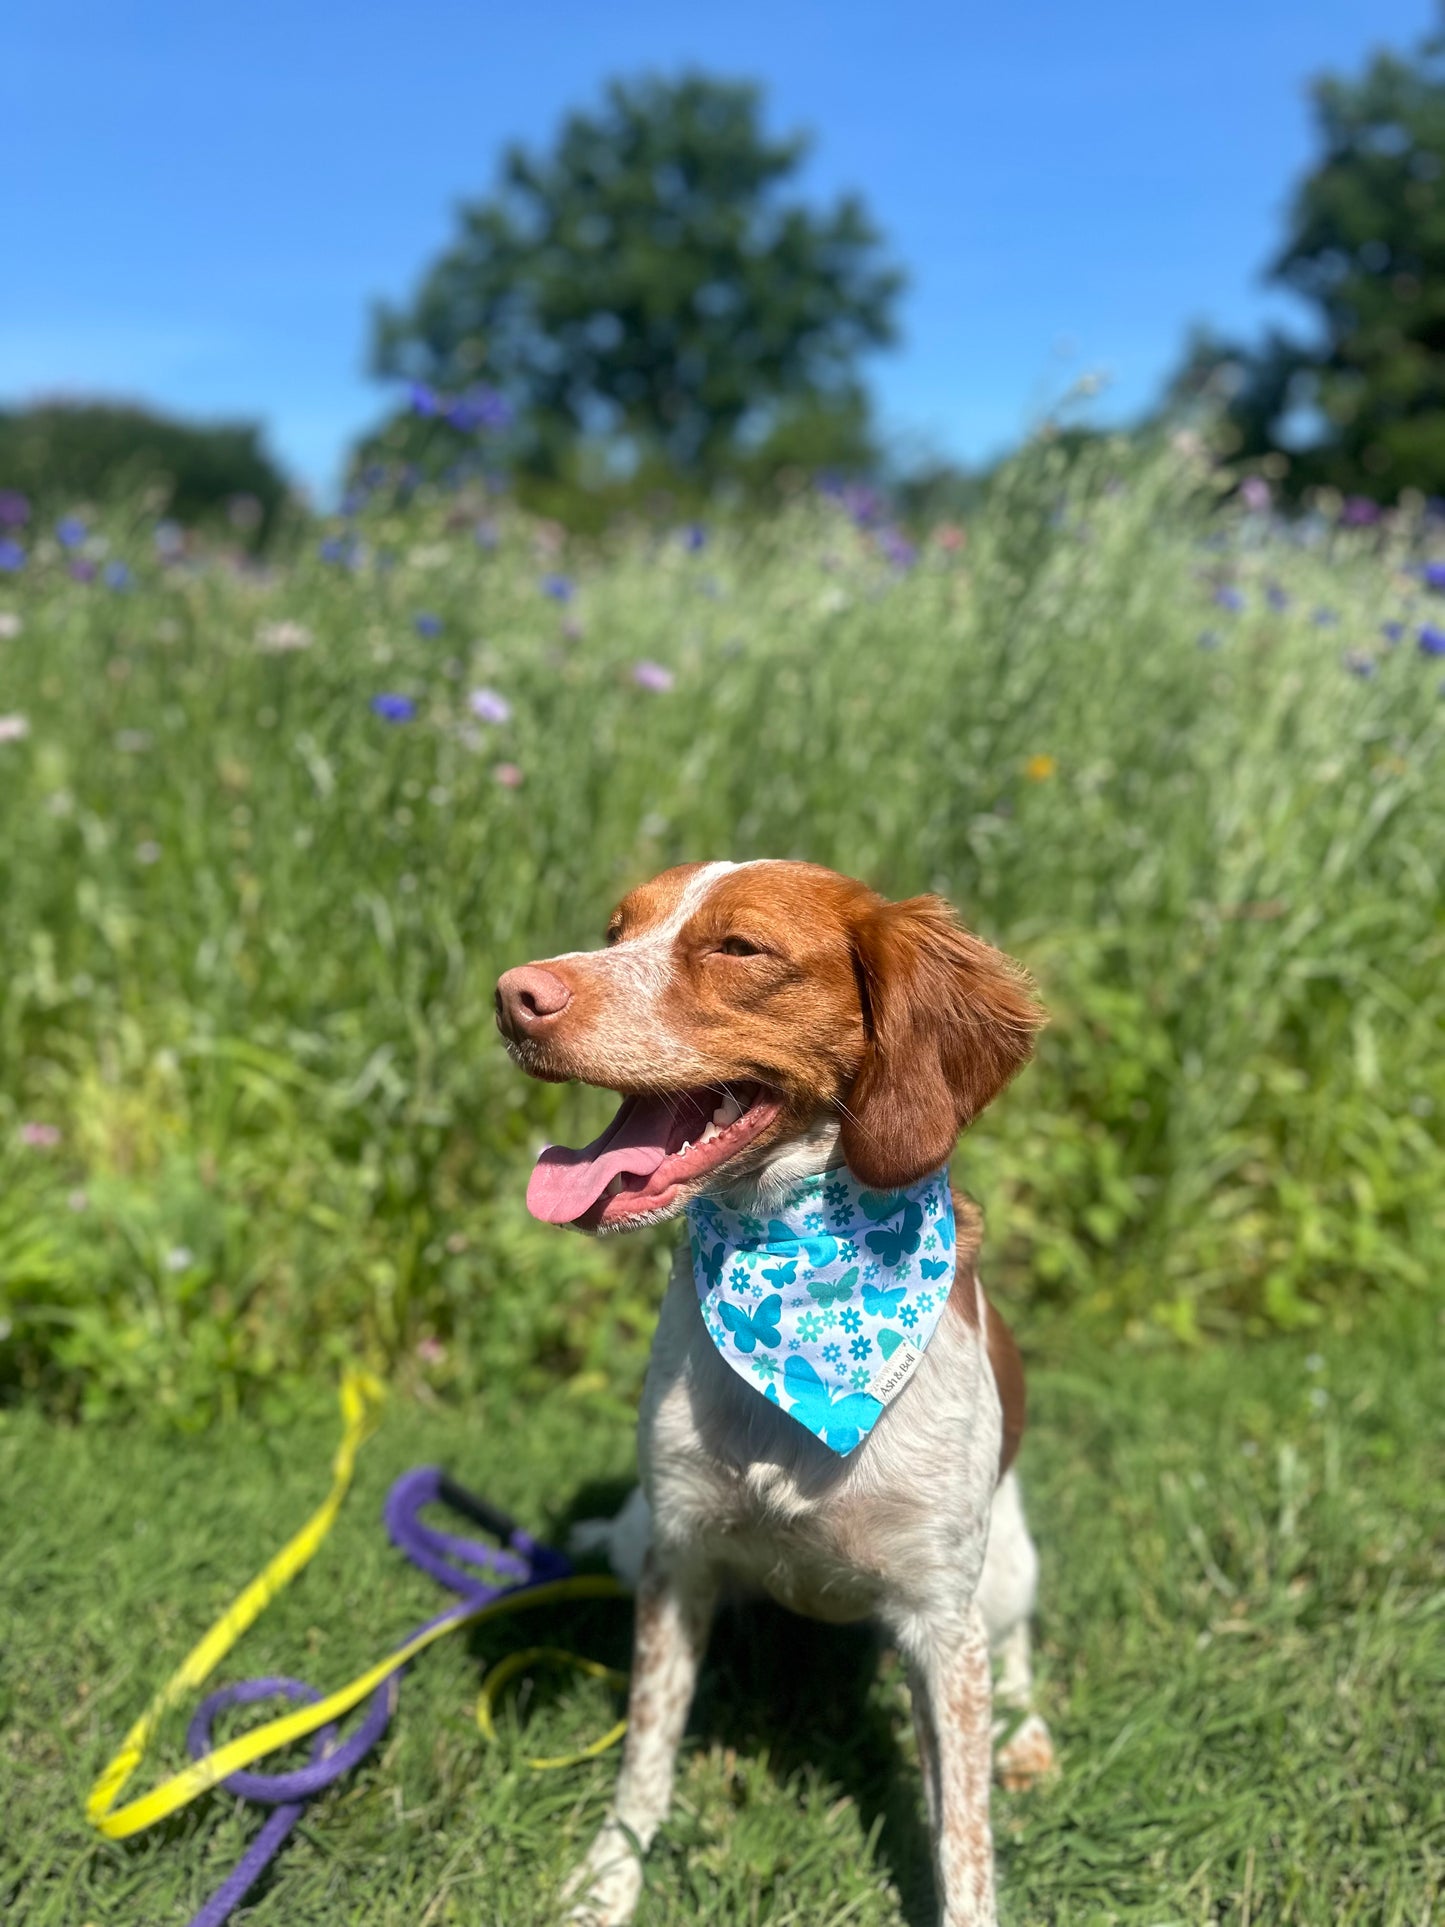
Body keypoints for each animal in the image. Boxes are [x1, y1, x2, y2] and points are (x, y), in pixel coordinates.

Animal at [497, 863, 1055, 1927]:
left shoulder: (941, 1618)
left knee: (1013, 1651)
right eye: (614, 931)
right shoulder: (676, 1554)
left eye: (738, 948)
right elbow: (645, 1755)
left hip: (1005, 1563)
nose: (514, 992)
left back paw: (1025, 1733)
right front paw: (607, 1878)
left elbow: (962, 1840)